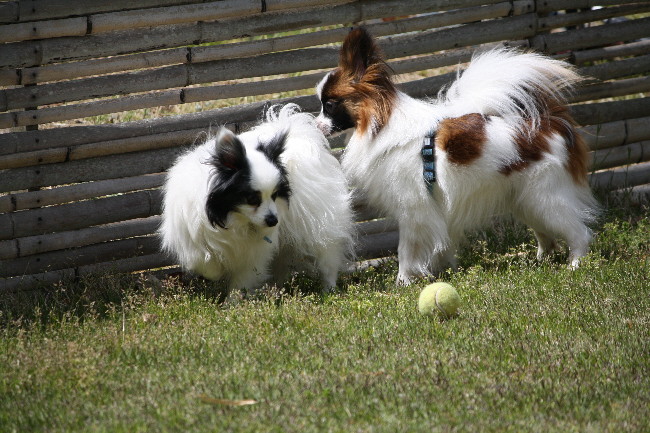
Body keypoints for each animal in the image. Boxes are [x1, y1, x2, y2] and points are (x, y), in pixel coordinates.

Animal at [159, 104, 355, 293]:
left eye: (275, 196)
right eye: (252, 199)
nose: (273, 221)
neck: (232, 218)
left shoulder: (252, 254)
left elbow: (241, 282)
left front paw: (233, 300)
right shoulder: (193, 238)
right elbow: (204, 263)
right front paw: (216, 272)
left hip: (319, 226)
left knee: (327, 259)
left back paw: (328, 290)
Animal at [315, 28, 598, 284]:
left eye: (329, 105)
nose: (316, 126)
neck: (379, 124)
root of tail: (550, 121)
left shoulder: (414, 210)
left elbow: (405, 251)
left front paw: (403, 283)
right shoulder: (433, 211)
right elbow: (440, 247)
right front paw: (442, 271)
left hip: (546, 198)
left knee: (579, 232)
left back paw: (575, 266)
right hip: (525, 199)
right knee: (545, 235)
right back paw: (542, 262)